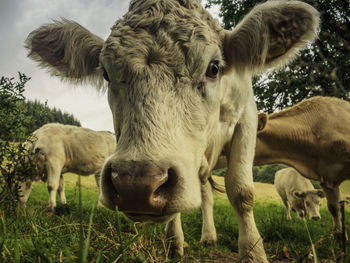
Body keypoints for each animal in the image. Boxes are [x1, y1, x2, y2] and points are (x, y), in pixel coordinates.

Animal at [25, 0, 320, 262]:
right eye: (106, 74)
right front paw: (175, 243)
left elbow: (242, 192)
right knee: (205, 194)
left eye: (214, 67)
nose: (136, 184)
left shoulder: (246, 118)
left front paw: (253, 253)